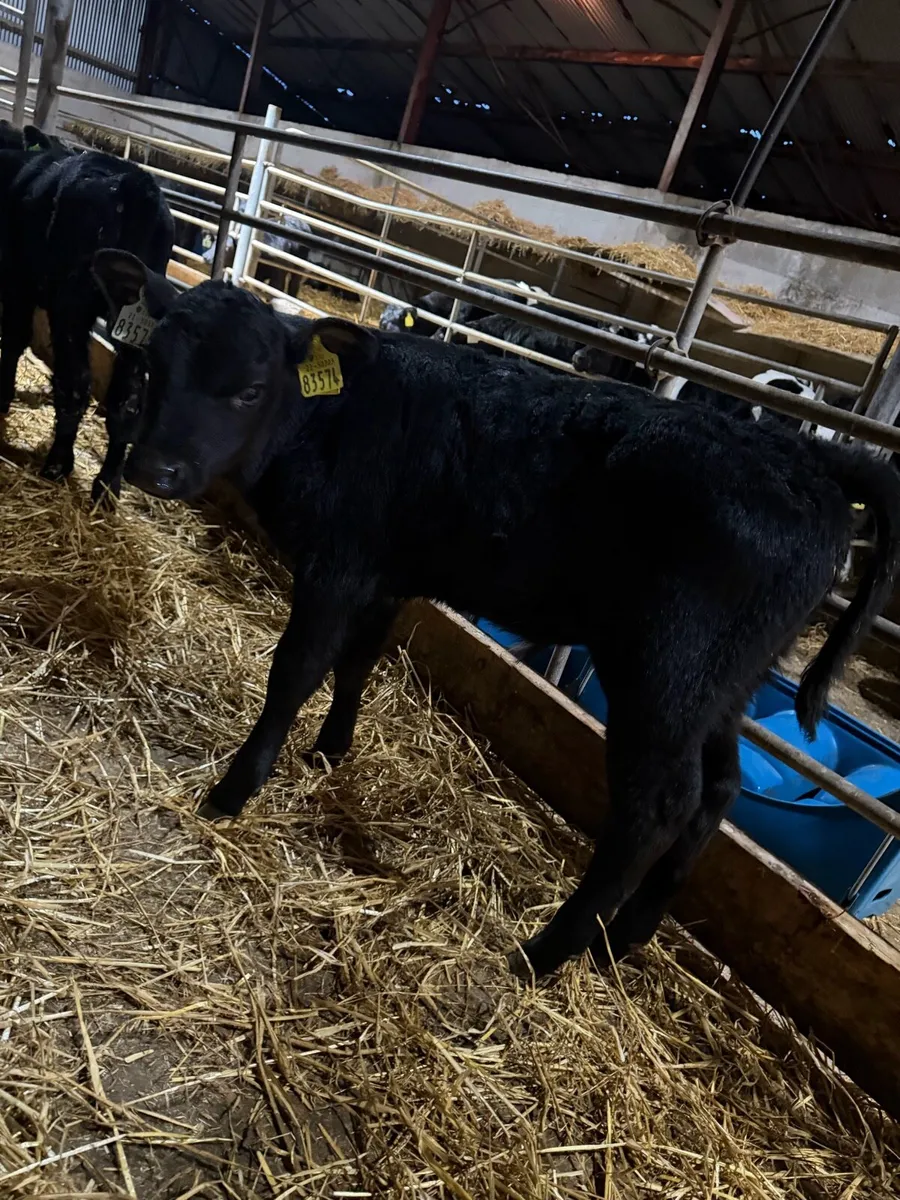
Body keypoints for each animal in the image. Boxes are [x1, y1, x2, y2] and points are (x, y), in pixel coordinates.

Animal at [0, 134, 174, 504]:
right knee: (128, 400)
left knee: (76, 382)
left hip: (72, 305)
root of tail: (135, 185)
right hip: (138, 323)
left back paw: (57, 464)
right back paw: (108, 485)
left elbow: (14, 337)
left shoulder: (17, 280)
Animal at [92, 249, 900, 982]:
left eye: (250, 390)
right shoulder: (385, 575)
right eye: (155, 367)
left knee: (659, 806)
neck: (333, 418)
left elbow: (296, 671)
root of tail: (805, 457)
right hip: (720, 684)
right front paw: (330, 750)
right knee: (719, 792)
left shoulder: (337, 566)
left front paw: (235, 789)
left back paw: (546, 953)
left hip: (665, 671)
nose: (154, 469)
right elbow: (358, 661)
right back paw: (623, 939)